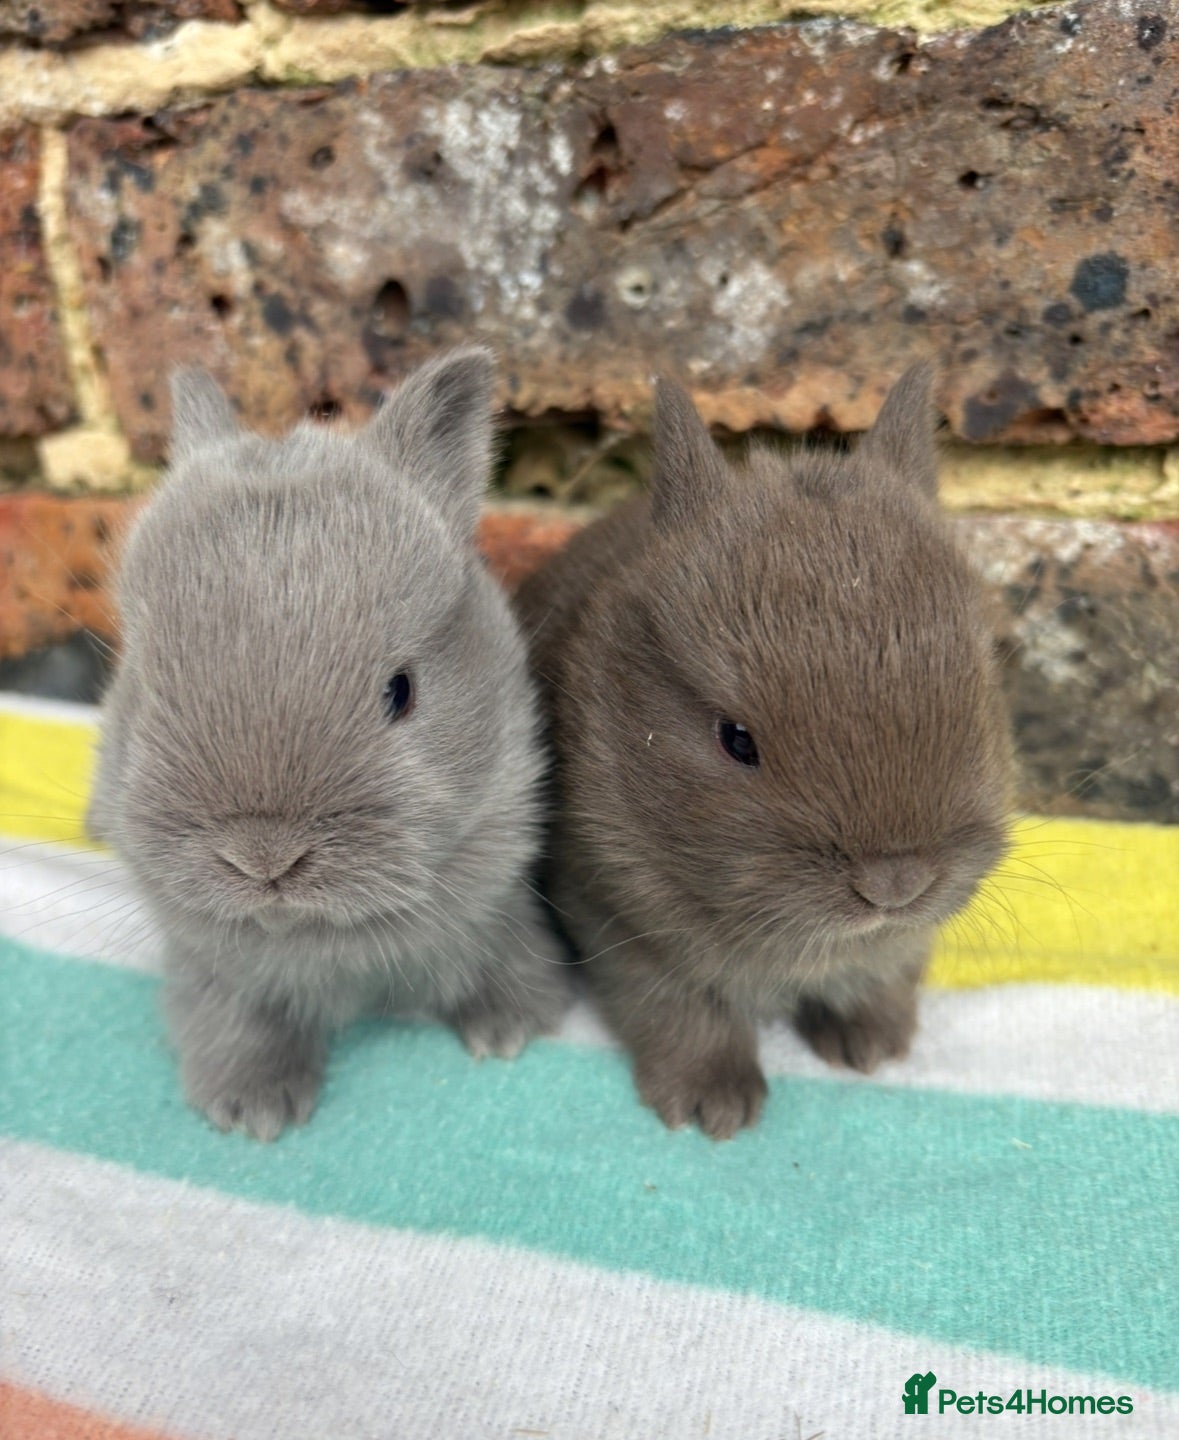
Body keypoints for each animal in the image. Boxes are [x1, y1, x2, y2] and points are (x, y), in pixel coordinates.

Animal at [514, 365, 1012, 1139]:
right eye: (736, 740)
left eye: (983, 681)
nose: (894, 886)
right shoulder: (620, 923)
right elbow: (681, 1011)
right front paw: (712, 1104)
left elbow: (884, 972)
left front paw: (874, 1045)